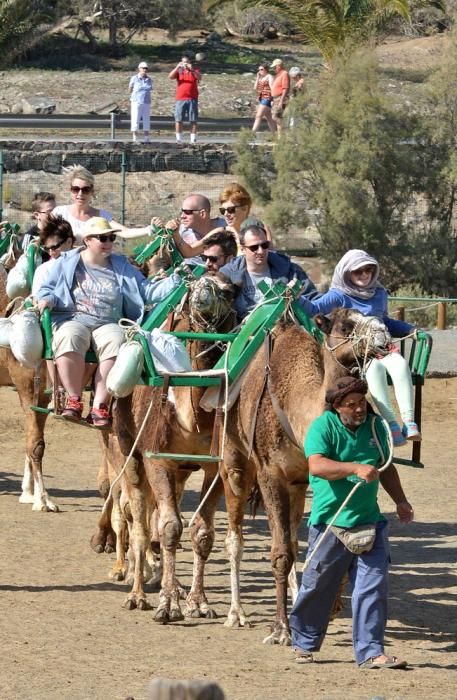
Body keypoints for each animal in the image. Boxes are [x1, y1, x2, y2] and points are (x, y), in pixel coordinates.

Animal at [110, 276, 237, 620]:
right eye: (193, 288)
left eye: (229, 290)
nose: (202, 291)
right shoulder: (157, 460)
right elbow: (168, 528)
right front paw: (166, 605)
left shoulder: (214, 466)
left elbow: (201, 532)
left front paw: (198, 602)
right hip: (128, 450)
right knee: (138, 518)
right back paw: (137, 593)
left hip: (180, 471)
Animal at [216, 308, 388, 644]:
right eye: (346, 325)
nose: (384, 335)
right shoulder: (270, 475)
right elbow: (280, 553)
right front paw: (280, 629)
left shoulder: (309, 477)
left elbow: (317, 542)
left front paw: (321, 611)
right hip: (234, 461)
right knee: (234, 537)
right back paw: (235, 613)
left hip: (294, 487)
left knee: (292, 541)